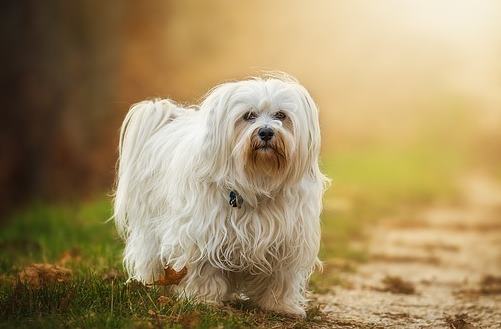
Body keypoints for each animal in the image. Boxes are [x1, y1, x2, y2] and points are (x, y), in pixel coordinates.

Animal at [113, 73, 326, 316]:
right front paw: (203, 299)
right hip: (150, 226)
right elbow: (204, 269)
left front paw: (279, 305)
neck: (257, 179)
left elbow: (280, 277)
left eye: (281, 115)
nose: (266, 132)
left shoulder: (287, 240)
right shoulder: (203, 234)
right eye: (248, 116)